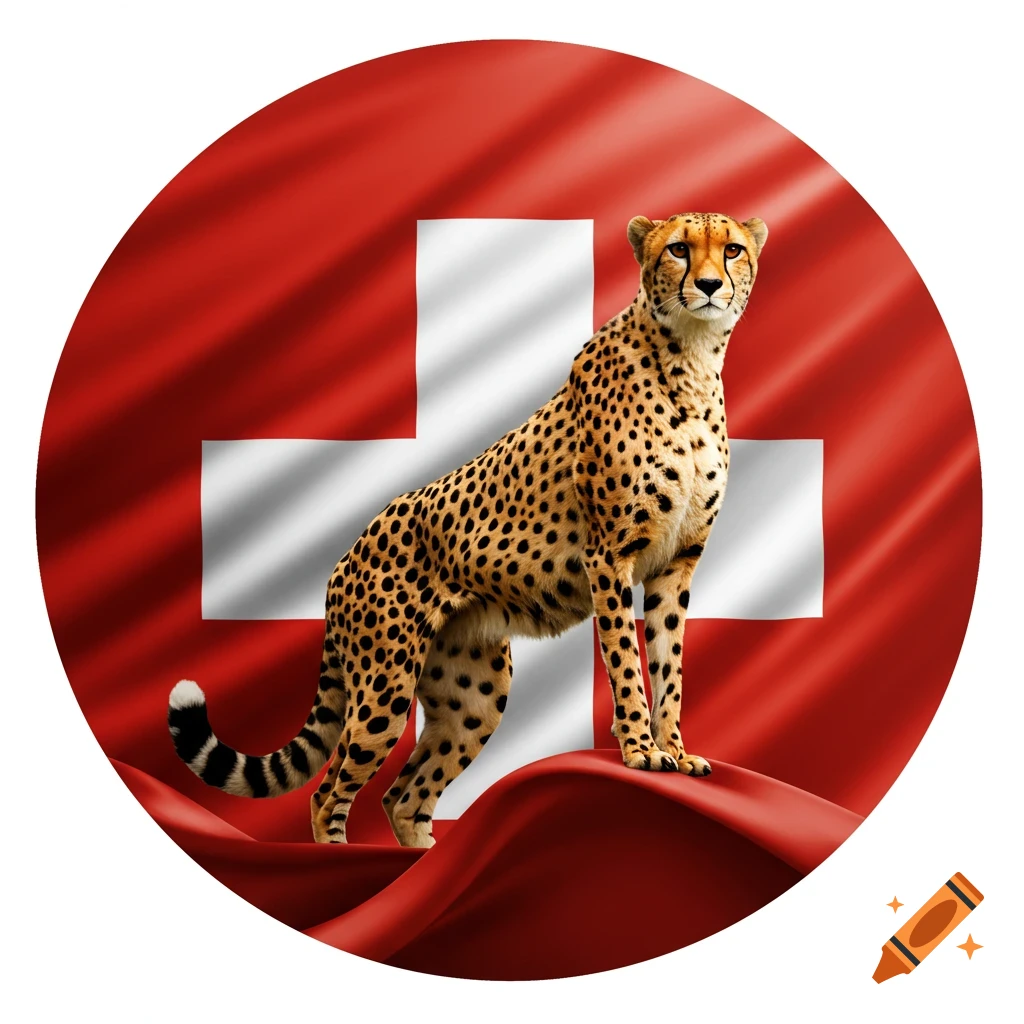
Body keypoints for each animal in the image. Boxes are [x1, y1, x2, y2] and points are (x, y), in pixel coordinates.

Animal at [168, 211, 768, 848]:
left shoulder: (676, 564)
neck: (691, 362)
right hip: (384, 686)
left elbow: (668, 664)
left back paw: (424, 863)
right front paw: (640, 750)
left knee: (405, 795)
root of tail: (345, 556)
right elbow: (628, 662)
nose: (709, 285)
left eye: (732, 250)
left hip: (474, 697)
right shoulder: (609, 556)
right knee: (328, 791)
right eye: (678, 249)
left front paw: (677, 750)